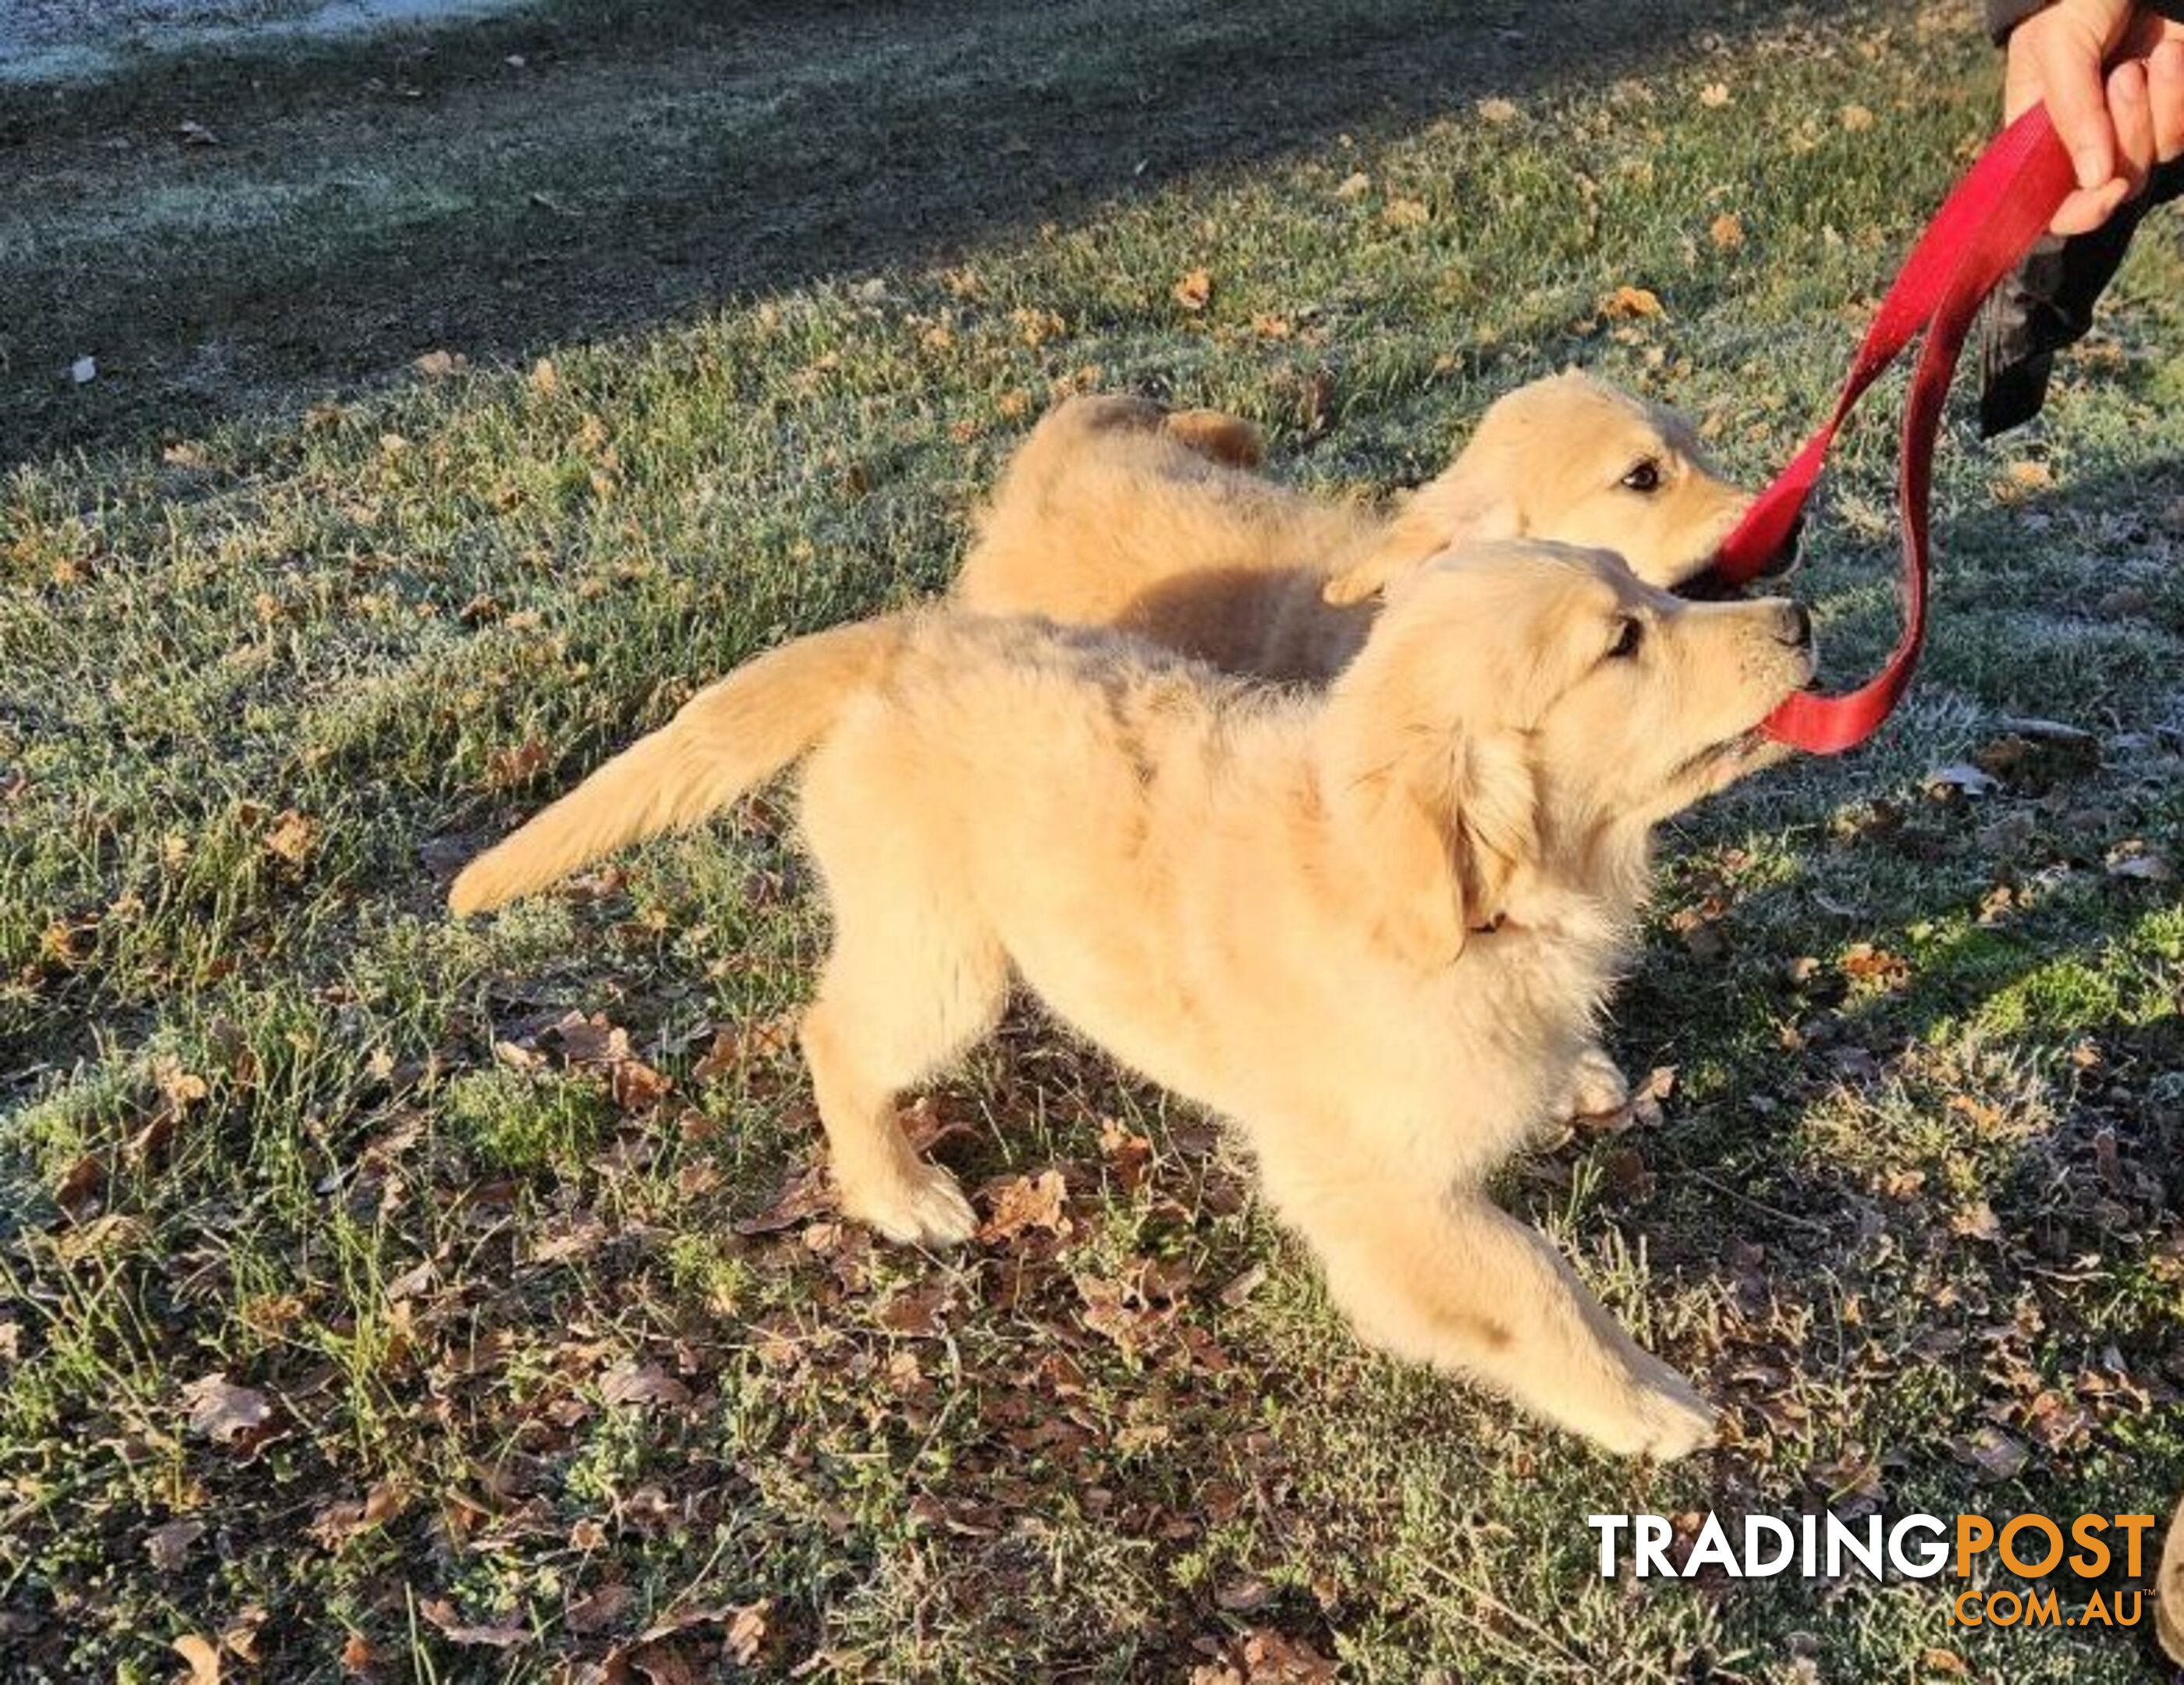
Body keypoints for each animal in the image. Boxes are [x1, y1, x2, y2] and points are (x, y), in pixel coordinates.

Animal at [452, 543, 1816, 1458]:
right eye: (1620, 643)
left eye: (1648, 590)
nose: (1799, 615)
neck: (1453, 904)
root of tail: (905, 636)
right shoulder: (1364, 1194)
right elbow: (1536, 1280)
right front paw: (1639, 1400)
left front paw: (1577, 1077)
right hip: (945, 962)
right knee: (831, 1033)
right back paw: (896, 1191)